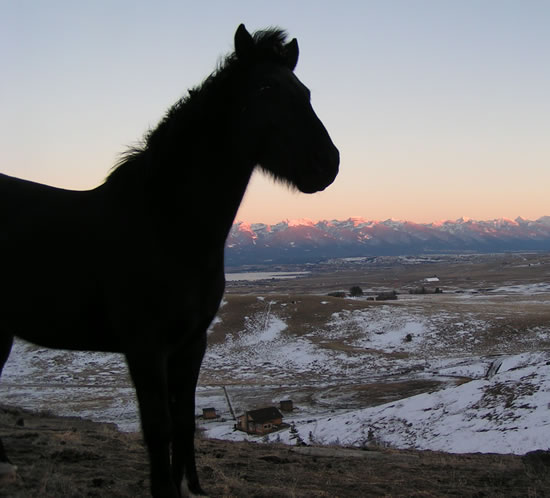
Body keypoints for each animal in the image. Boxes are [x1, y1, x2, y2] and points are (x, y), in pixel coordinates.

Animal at [0, 25, 338, 496]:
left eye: (304, 92)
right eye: (265, 88)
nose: (328, 163)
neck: (167, 225)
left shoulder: (192, 343)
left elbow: (184, 422)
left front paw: (191, 486)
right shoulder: (145, 346)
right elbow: (157, 428)